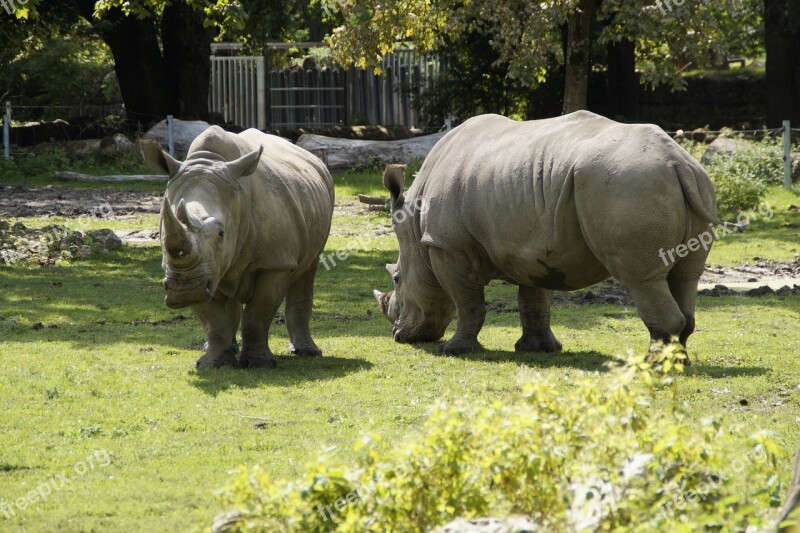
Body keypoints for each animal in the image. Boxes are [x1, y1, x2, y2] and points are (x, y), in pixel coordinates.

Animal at [142, 125, 332, 368]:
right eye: (162, 235)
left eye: (221, 234)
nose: (184, 289)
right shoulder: (201, 271)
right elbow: (213, 318)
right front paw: (214, 363)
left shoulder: (275, 262)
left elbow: (258, 315)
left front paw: (259, 364)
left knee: (308, 268)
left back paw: (307, 352)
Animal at [376, 111, 720, 362]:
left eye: (396, 279)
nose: (398, 335)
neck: (415, 228)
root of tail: (677, 161)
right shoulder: (536, 247)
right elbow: (534, 299)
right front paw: (538, 349)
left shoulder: (447, 245)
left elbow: (467, 302)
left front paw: (454, 351)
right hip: (689, 182)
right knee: (685, 276)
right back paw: (678, 363)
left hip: (629, 186)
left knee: (643, 278)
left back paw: (652, 368)